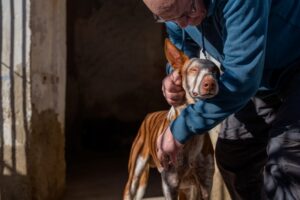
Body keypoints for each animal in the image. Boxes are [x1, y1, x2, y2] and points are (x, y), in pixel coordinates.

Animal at [122, 39, 220, 200]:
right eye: (193, 70)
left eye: (215, 71)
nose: (210, 83)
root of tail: (150, 114)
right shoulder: (170, 184)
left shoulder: (205, 184)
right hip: (135, 178)